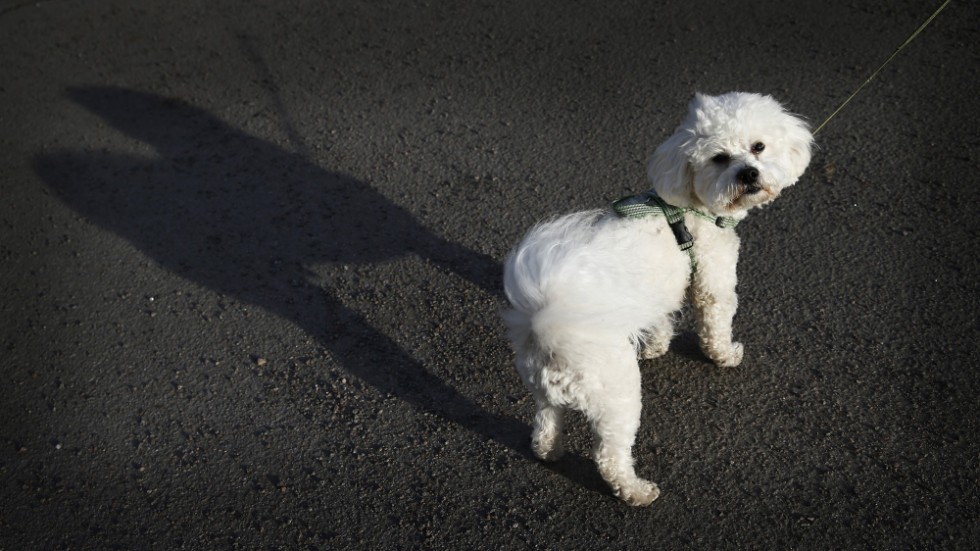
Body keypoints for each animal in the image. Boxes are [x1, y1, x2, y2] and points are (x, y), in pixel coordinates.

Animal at [502, 92, 816, 506]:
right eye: (720, 158)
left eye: (758, 147)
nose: (748, 173)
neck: (690, 206)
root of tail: (547, 327)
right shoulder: (713, 278)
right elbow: (716, 323)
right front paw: (725, 355)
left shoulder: (662, 289)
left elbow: (661, 318)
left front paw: (655, 346)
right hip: (616, 395)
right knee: (609, 456)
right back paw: (636, 491)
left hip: (545, 393)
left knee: (544, 427)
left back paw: (550, 452)